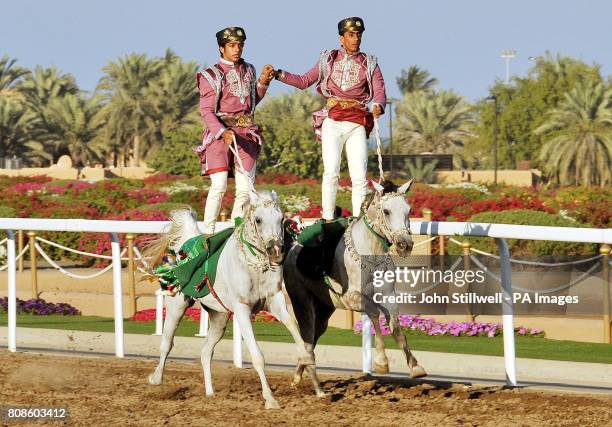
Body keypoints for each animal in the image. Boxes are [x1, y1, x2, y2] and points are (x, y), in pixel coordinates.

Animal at [146, 191, 314, 412]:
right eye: (258, 219)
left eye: (281, 218)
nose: (276, 251)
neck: (254, 267)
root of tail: (183, 249)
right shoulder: (242, 307)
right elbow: (257, 356)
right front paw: (270, 399)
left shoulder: (274, 300)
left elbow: (293, 325)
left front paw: (306, 367)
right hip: (177, 305)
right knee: (167, 343)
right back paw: (156, 378)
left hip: (219, 316)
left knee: (206, 351)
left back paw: (210, 393)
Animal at [282, 179, 426, 396]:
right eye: (386, 211)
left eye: (408, 210)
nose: (405, 244)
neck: (370, 255)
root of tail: (293, 246)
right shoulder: (352, 298)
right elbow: (374, 313)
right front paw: (381, 362)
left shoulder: (388, 296)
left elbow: (396, 326)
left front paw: (415, 367)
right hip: (302, 301)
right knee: (307, 334)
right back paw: (307, 378)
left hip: (325, 307)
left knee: (314, 335)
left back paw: (299, 373)